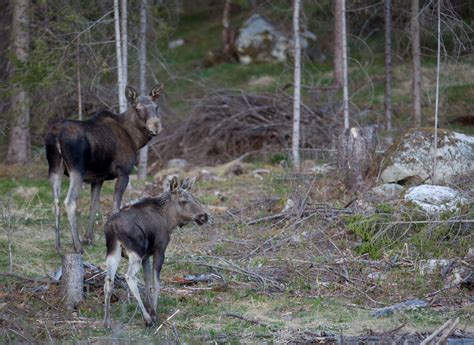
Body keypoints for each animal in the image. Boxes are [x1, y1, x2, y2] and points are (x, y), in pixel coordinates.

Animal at [45, 83, 163, 253]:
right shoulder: (124, 172)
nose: (156, 127)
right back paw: (77, 246)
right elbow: (116, 205)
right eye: (138, 108)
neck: (135, 140)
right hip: (77, 169)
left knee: (56, 201)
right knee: (69, 201)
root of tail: (56, 135)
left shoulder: (97, 178)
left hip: (55, 167)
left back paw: (58, 246)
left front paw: (89, 238)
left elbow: (94, 205)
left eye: (156, 107)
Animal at [103, 176, 209, 326]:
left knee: (108, 280)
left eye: (195, 198)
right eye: (183, 201)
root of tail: (113, 226)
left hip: (113, 250)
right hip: (136, 251)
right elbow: (156, 282)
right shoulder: (159, 250)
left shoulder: (146, 256)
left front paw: (149, 306)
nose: (204, 216)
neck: (169, 220)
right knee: (129, 276)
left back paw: (106, 321)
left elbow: (147, 280)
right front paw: (153, 312)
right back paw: (147, 319)